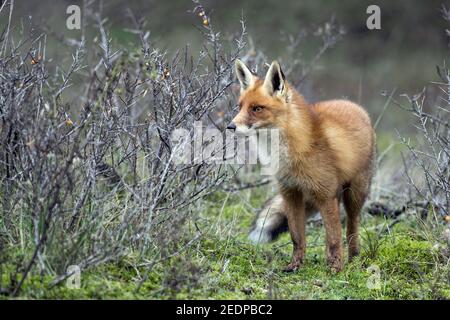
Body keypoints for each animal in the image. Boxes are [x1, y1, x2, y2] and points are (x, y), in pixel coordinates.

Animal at [229, 58, 376, 272]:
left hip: (354, 193)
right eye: (240, 106)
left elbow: (334, 239)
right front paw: (295, 266)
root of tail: (356, 106)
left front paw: (336, 270)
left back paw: (353, 259)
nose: (230, 126)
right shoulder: (290, 192)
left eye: (257, 108)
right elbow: (297, 236)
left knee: (351, 227)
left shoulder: (325, 194)